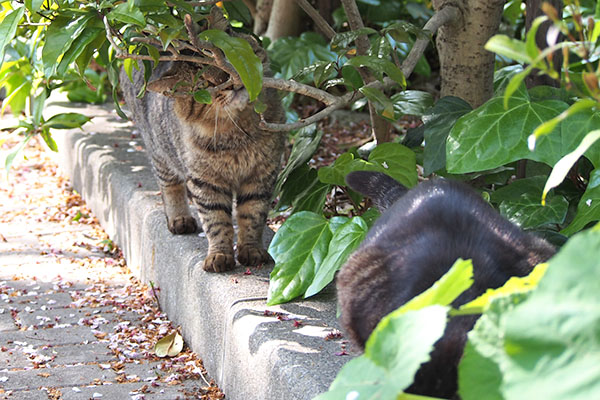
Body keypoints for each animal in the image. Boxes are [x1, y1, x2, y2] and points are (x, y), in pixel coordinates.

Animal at [120, 54, 284, 276]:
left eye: (226, 62)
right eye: (204, 85)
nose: (231, 83)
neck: (237, 135)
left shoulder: (261, 176)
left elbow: (252, 216)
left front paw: (251, 250)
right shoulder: (205, 183)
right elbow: (216, 221)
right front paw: (219, 254)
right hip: (161, 154)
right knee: (169, 187)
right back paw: (179, 219)